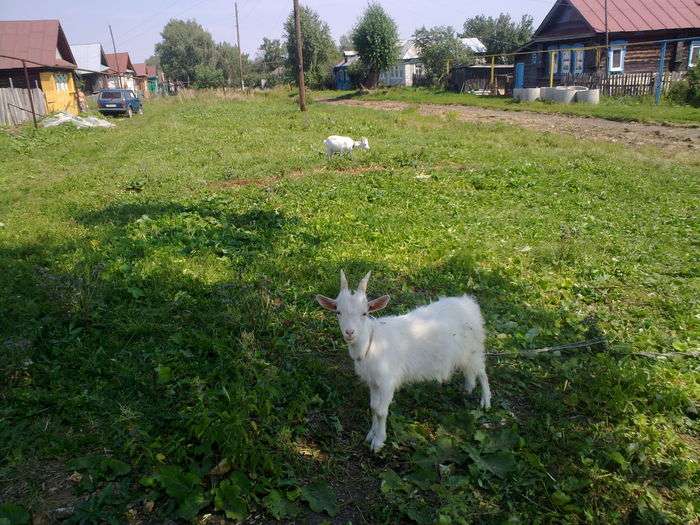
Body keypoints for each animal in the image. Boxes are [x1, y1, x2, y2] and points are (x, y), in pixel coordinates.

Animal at [318, 270, 492, 450]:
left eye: (364, 313)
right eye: (338, 312)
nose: (349, 332)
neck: (372, 343)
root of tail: (468, 303)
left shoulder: (387, 381)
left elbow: (381, 411)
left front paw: (378, 441)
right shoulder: (374, 382)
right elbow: (373, 407)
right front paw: (370, 435)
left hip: (474, 349)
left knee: (482, 371)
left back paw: (485, 401)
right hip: (466, 353)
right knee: (470, 370)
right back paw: (468, 389)